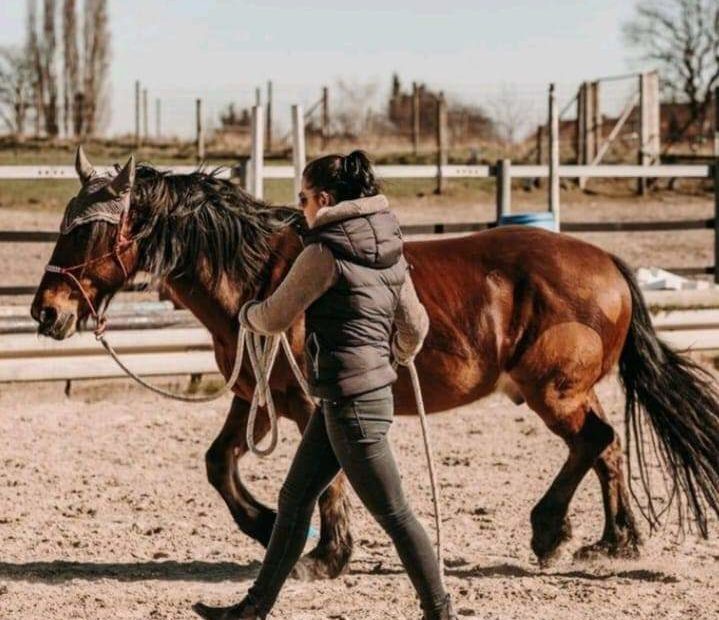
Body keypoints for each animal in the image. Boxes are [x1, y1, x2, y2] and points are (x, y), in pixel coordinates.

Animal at [32, 154, 719, 576]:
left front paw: (324, 554)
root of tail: (608, 263)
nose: (46, 311)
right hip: (570, 391)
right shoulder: (256, 394)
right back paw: (614, 540)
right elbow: (219, 464)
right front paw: (266, 525)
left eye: (87, 233)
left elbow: (326, 480)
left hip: (554, 392)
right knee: (608, 447)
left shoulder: (313, 402)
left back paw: (550, 531)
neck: (261, 276)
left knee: (594, 442)